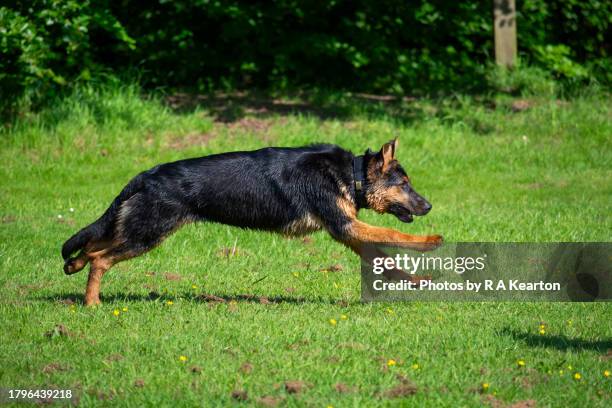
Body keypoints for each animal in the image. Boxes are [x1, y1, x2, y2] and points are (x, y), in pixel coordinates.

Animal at [63, 139, 440, 304]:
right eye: (404, 184)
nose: (429, 206)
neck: (353, 174)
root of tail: (146, 175)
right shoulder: (345, 226)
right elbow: (392, 233)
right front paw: (431, 242)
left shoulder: (348, 233)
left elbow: (386, 261)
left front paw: (417, 281)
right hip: (147, 234)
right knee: (100, 258)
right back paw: (92, 303)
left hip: (137, 229)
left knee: (93, 245)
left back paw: (73, 266)